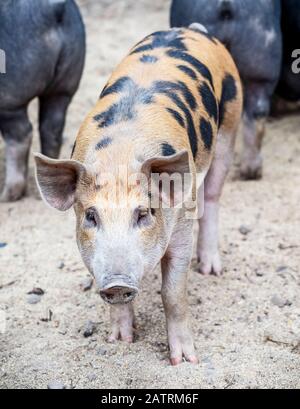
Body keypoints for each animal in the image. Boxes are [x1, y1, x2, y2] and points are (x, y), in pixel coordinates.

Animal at [34, 26, 241, 364]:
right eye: (90, 216)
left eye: (144, 213)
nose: (117, 282)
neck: (119, 156)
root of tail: (193, 30)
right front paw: (121, 340)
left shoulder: (181, 221)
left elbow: (173, 292)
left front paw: (184, 361)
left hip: (229, 128)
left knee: (213, 197)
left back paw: (210, 269)